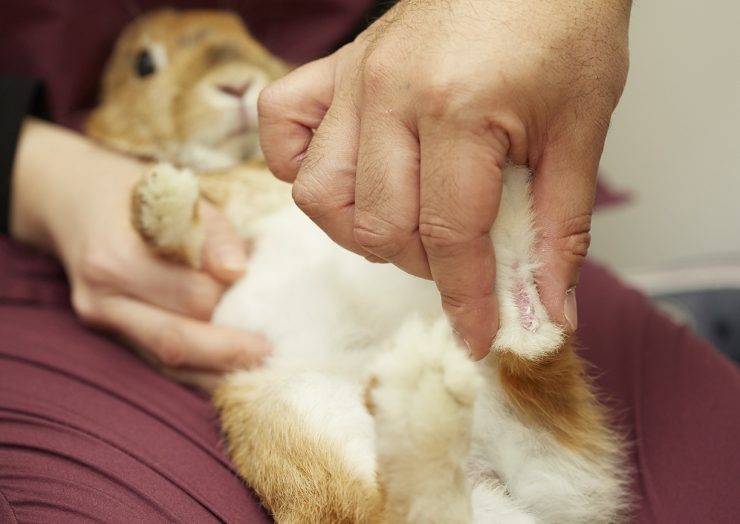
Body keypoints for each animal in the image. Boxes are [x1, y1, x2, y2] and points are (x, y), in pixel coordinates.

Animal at [86, 8, 632, 524]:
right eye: (143, 64)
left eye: (242, 32)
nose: (237, 82)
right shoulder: (225, 237)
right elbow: (185, 239)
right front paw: (161, 194)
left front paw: (163, 193)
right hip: (299, 421)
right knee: (418, 504)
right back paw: (425, 384)